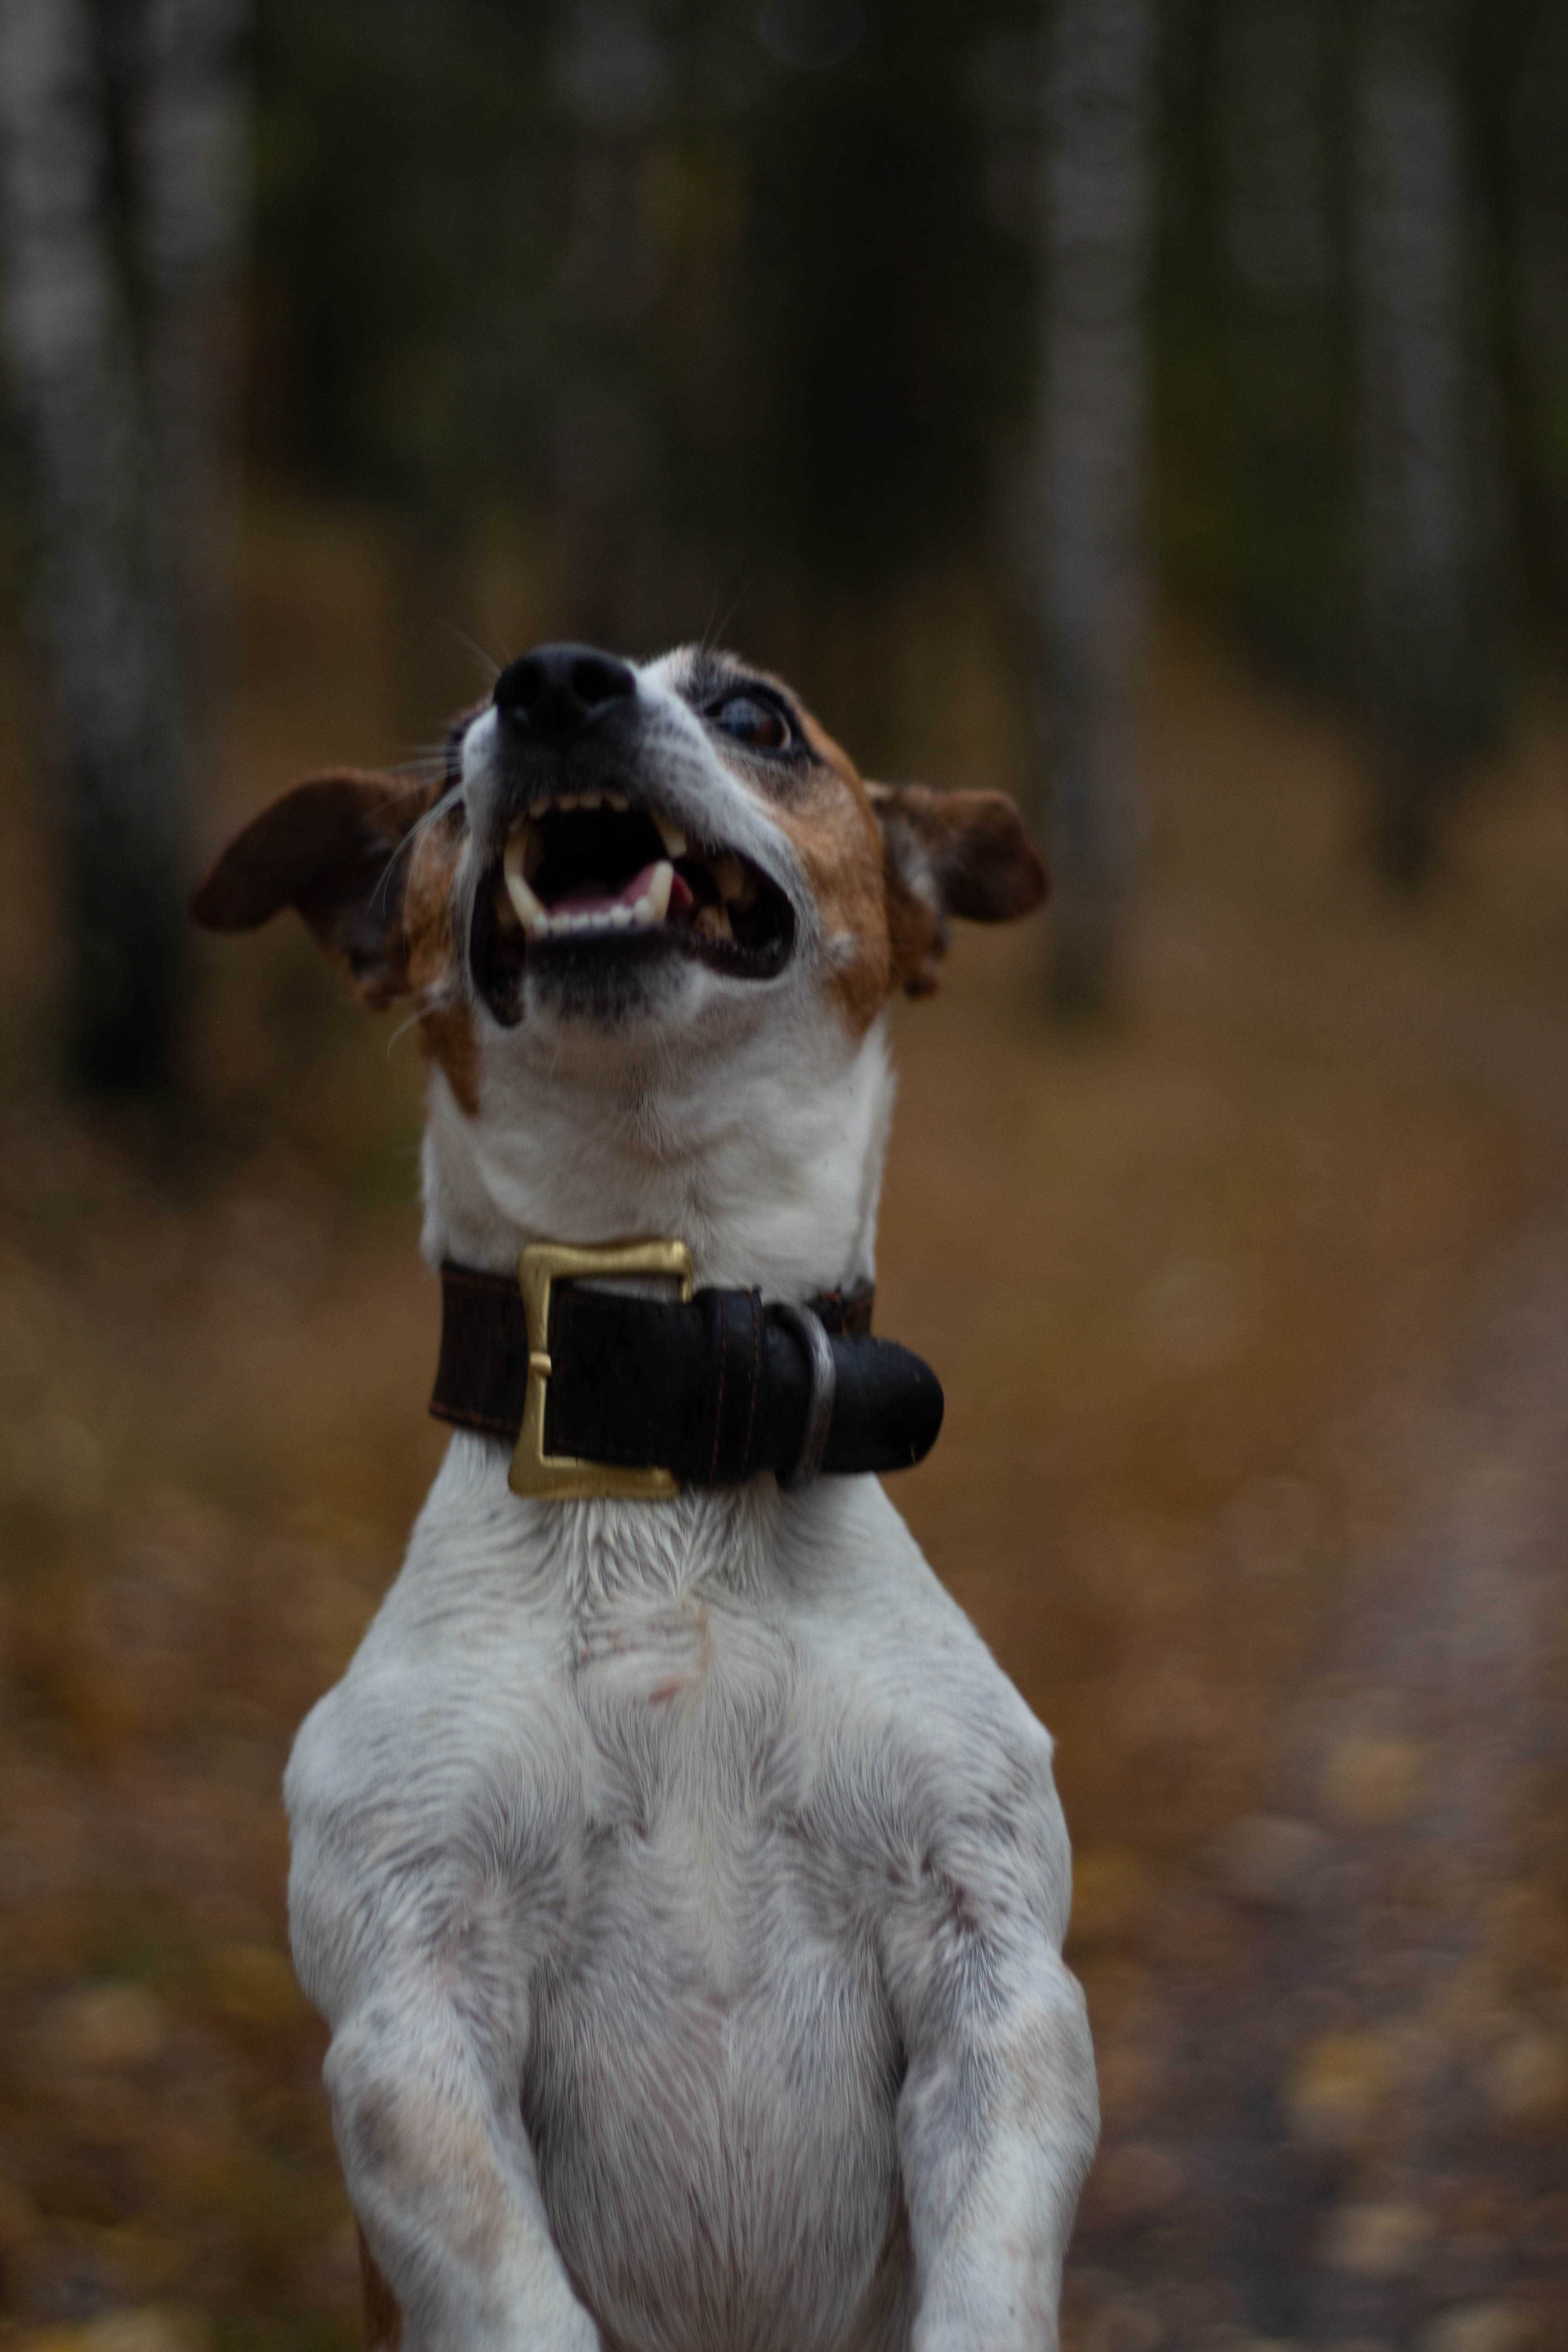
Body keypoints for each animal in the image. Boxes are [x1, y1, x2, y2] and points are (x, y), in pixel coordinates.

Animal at [196, 644, 1100, 2352]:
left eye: (755, 715)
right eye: (445, 779)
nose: (551, 687)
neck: (674, 1426)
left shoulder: (999, 1984)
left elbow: (990, 2269)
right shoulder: (411, 2021)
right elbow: (512, 2290)